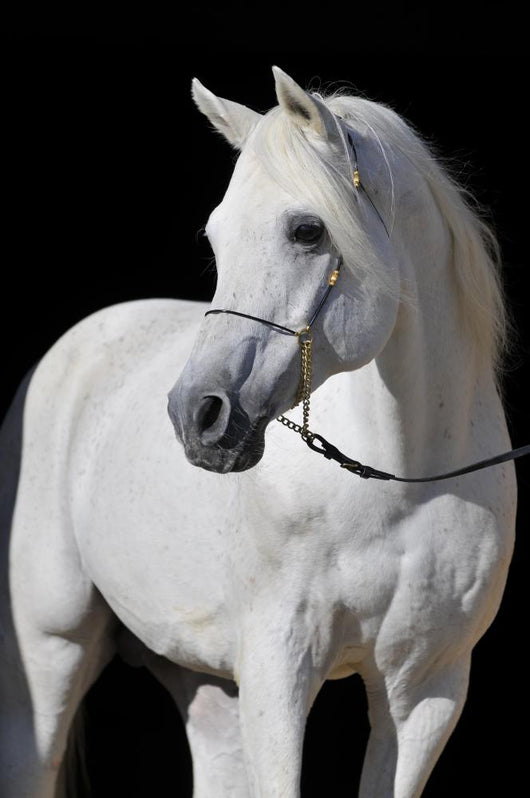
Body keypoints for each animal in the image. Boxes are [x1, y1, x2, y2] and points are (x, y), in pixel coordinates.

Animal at [0, 65, 517, 797]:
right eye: (216, 239)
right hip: (48, 655)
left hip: (208, 685)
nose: (198, 415)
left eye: (306, 230)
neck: (401, 485)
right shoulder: (279, 672)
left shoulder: (424, 692)